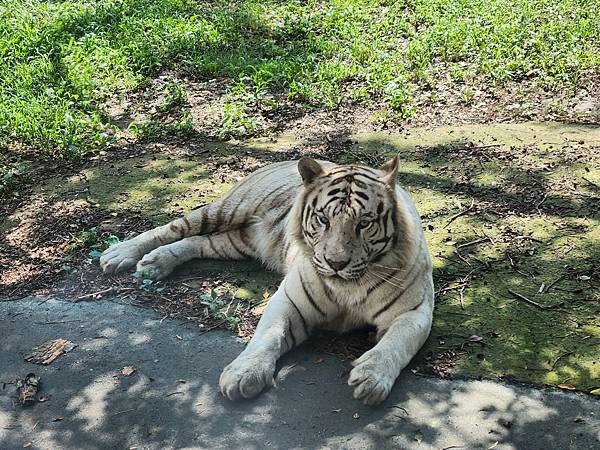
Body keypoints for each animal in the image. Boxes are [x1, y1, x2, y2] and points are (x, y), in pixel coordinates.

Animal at [101, 156, 434, 406]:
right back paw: (121, 254)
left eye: (364, 223)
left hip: (235, 242)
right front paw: (242, 374)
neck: (348, 288)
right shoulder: (289, 302)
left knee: (198, 241)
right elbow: (267, 336)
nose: (336, 263)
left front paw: (371, 378)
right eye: (323, 219)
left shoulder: (414, 312)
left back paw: (157, 262)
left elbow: (396, 344)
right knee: (173, 227)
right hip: (227, 209)